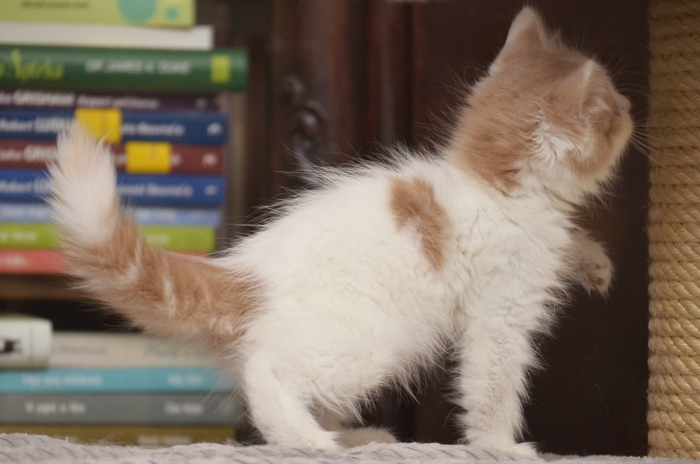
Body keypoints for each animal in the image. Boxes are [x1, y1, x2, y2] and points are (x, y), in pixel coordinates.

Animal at [49, 7, 632, 456]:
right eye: (611, 110)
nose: (630, 107)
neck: (493, 184)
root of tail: (244, 275)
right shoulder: (500, 313)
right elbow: (492, 384)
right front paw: (500, 446)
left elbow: (570, 245)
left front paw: (593, 260)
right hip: (364, 346)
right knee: (266, 374)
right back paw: (311, 443)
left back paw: (355, 438)